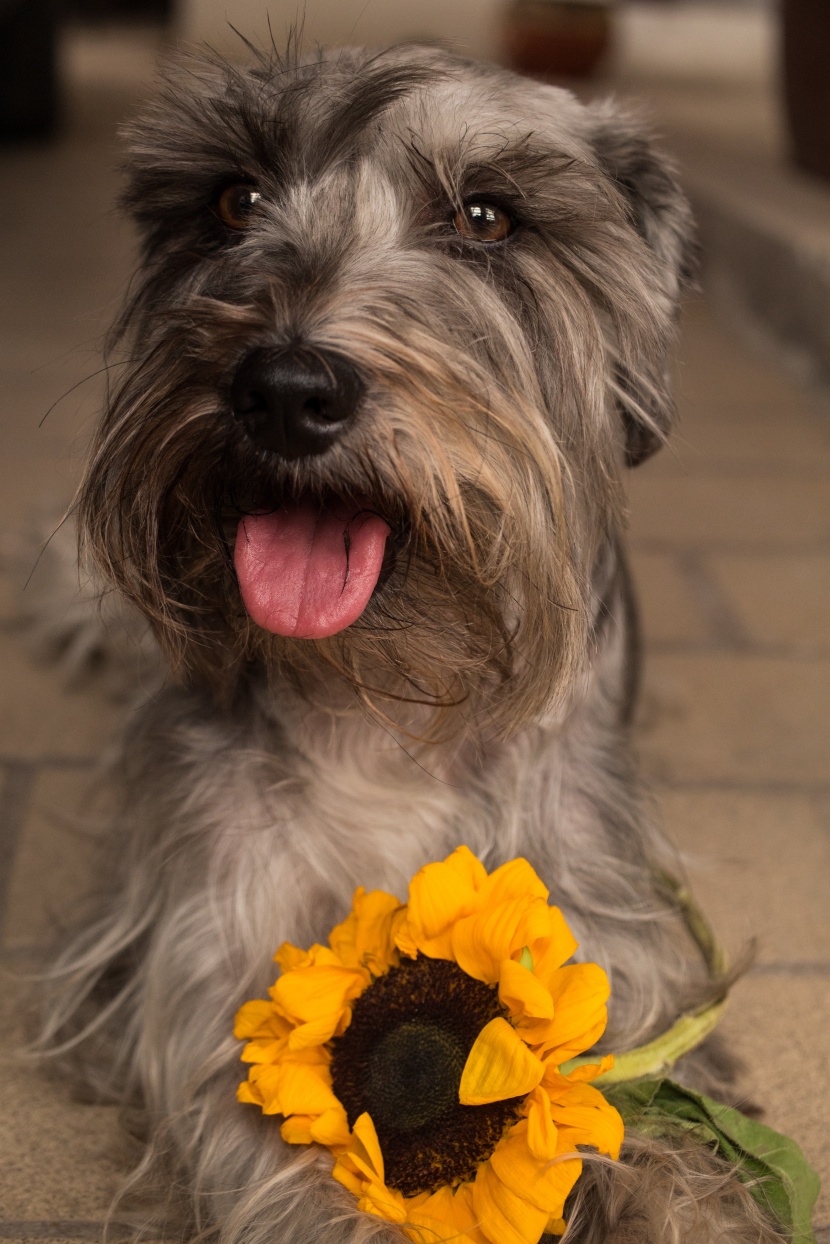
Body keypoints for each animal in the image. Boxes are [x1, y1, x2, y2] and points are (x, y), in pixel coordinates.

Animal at [35, 38, 791, 1244]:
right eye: (232, 199)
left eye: (487, 216)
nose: (286, 389)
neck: (384, 696)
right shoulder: (223, 961)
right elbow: (283, 1158)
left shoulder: (604, 932)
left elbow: (653, 1132)